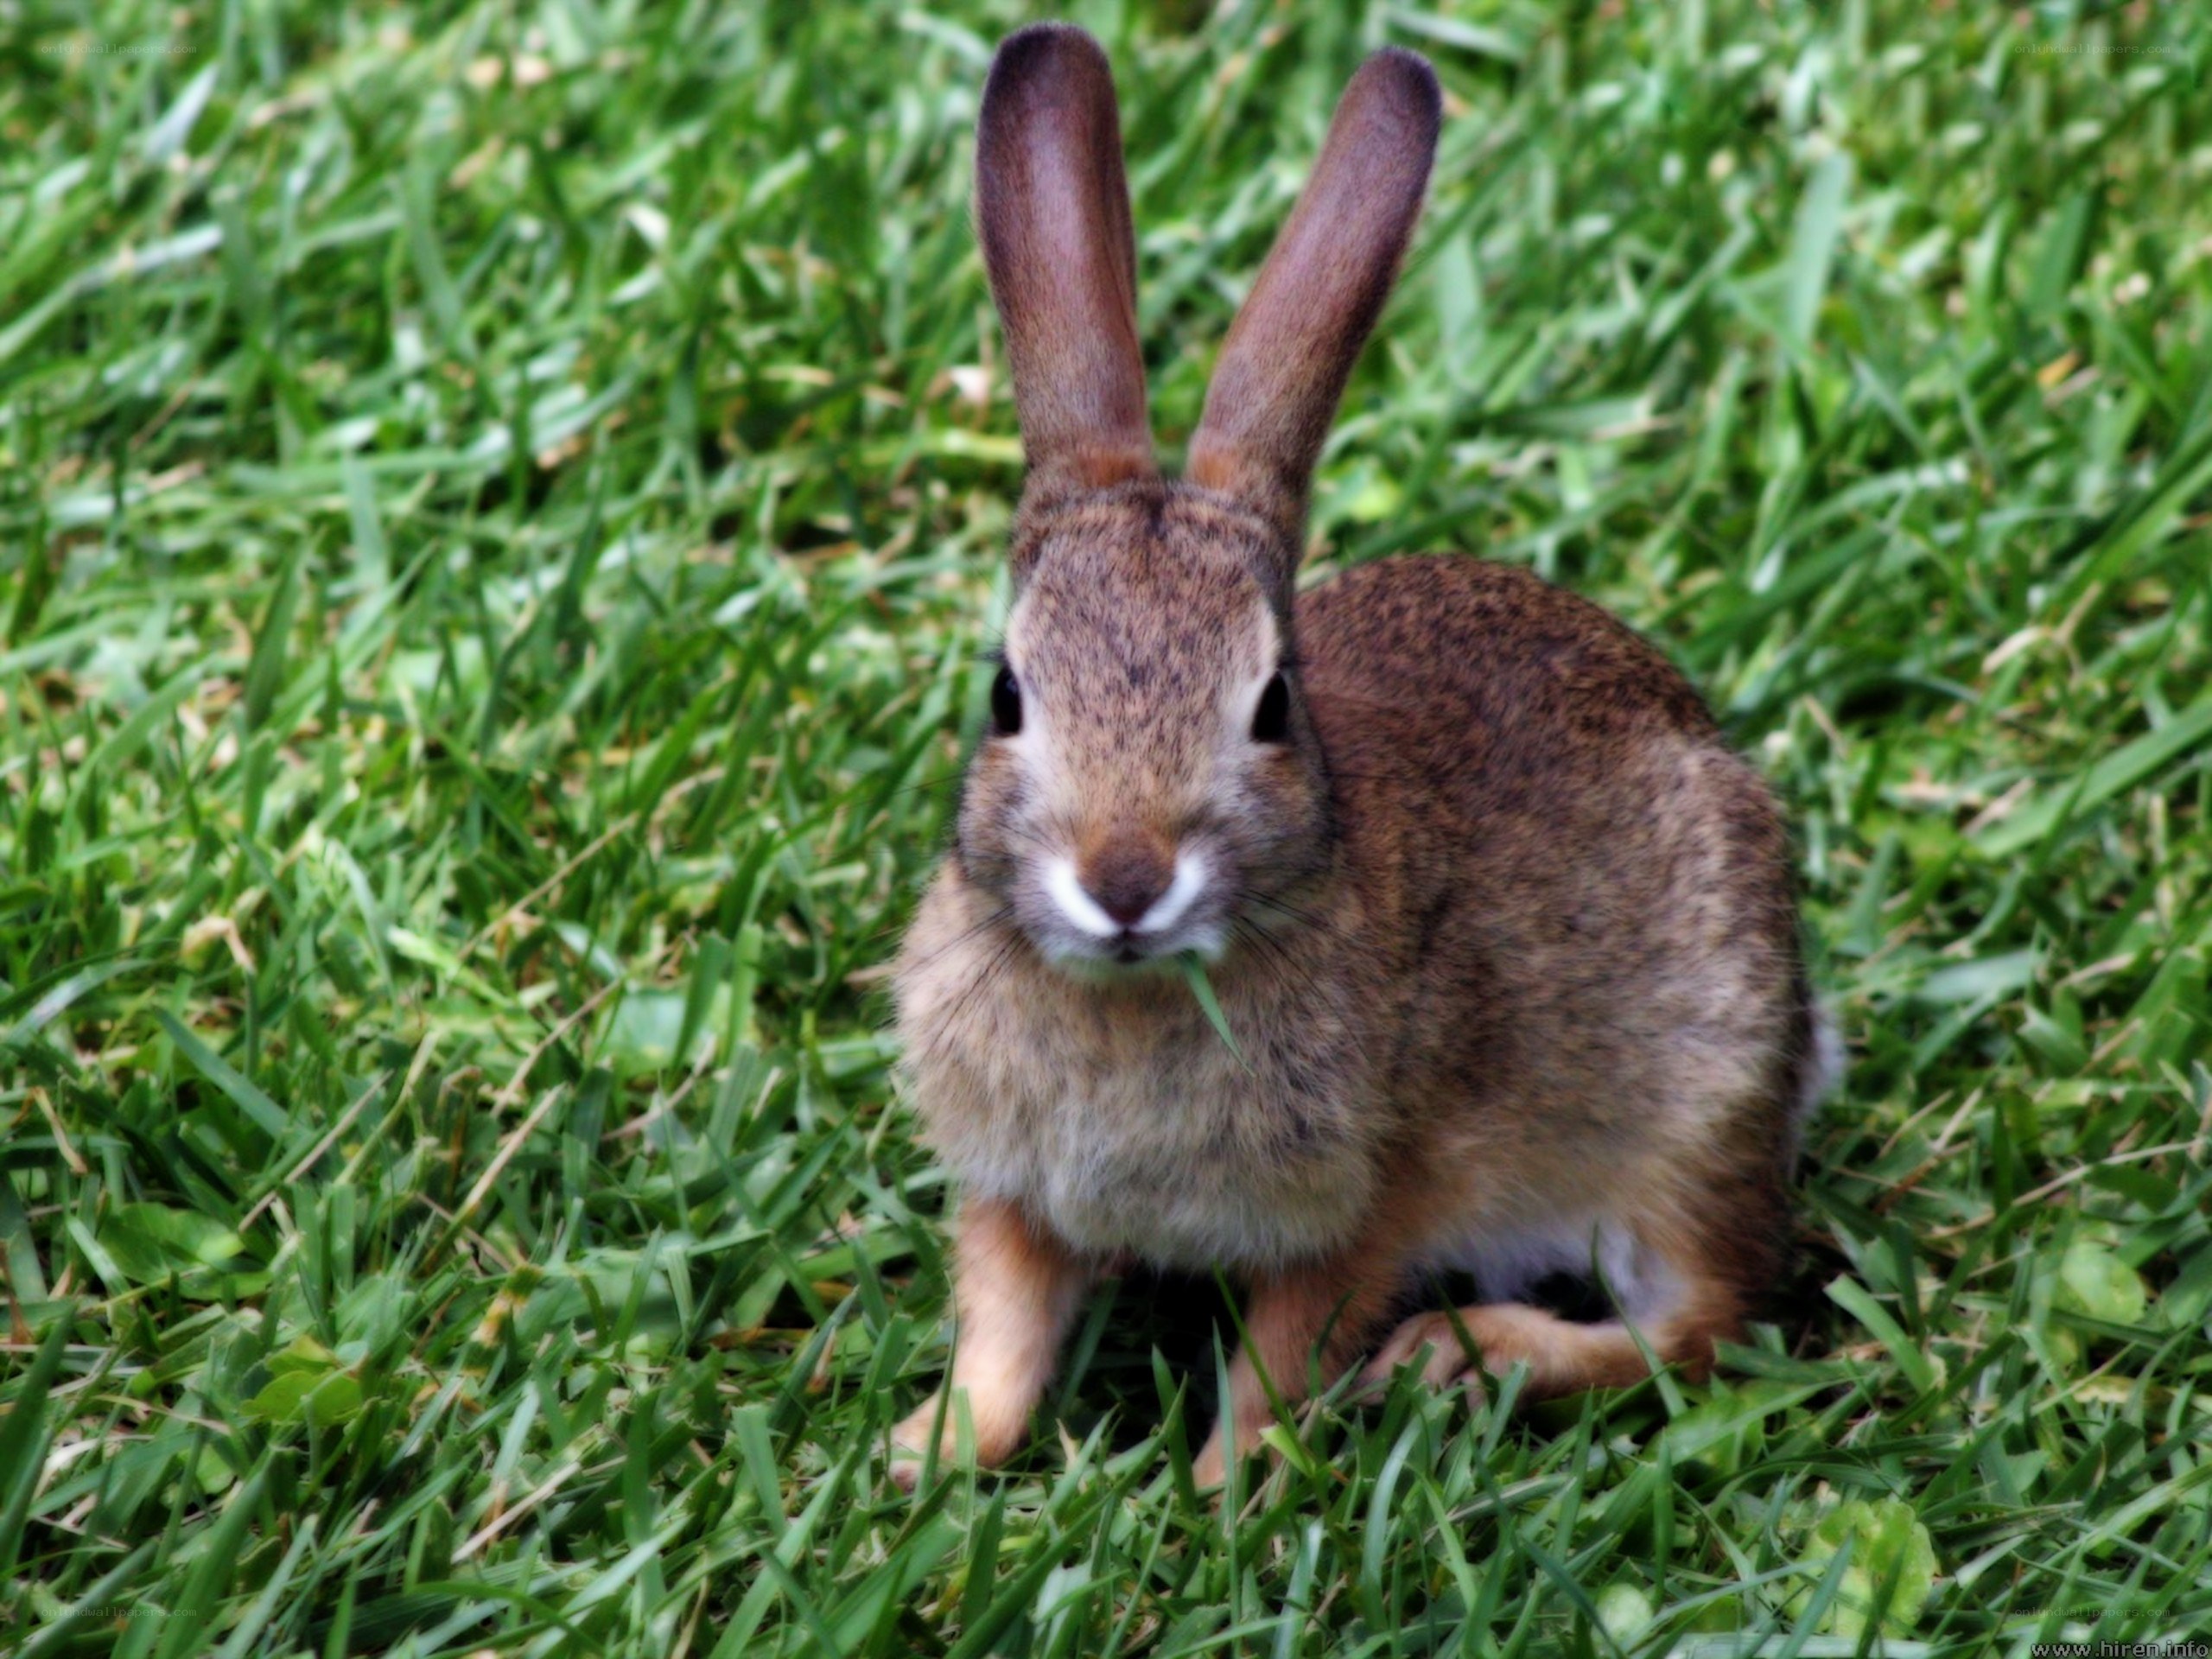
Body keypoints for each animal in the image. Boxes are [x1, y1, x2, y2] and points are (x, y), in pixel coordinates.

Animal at [887, 23, 1834, 1492]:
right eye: (1006, 694)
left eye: (1272, 705)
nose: (1123, 880)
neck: (1140, 996)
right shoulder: (1012, 1186)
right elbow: (1003, 1328)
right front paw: (932, 1453)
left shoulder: (1369, 1199)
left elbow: (1283, 1355)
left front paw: (1222, 1493)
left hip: (1688, 1116)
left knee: (1701, 1332)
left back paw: (1460, 1355)